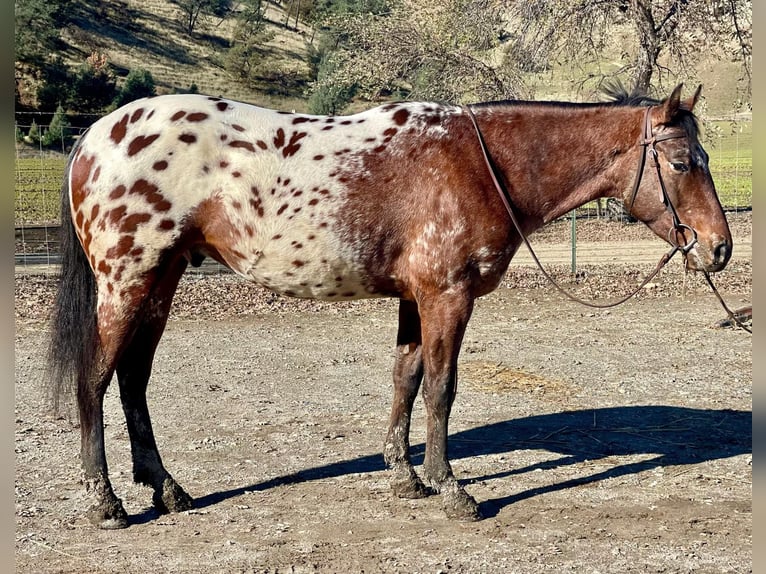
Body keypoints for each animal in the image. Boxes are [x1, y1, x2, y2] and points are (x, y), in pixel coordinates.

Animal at [46, 83, 732, 528]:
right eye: (681, 162)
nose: (719, 247)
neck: (479, 164)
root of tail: (95, 137)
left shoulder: (414, 299)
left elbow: (405, 380)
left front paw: (405, 477)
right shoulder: (447, 298)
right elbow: (441, 389)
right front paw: (451, 488)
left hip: (160, 284)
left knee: (134, 381)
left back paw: (167, 490)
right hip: (127, 283)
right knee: (95, 381)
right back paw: (105, 503)